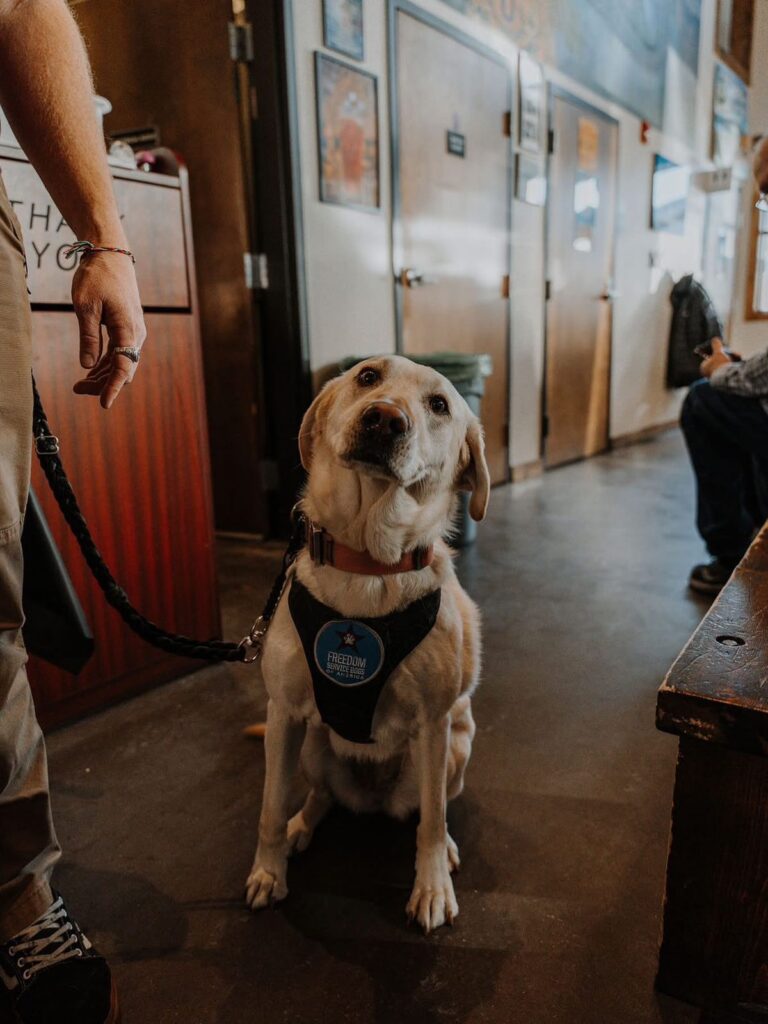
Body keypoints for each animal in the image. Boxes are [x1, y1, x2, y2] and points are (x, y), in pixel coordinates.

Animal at [245, 354, 489, 932]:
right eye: (367, 377)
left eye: (439, 404)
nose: (385, 419)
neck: (368, 563)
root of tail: (372, 799)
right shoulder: (283, 713)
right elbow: (269, 808)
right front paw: (268, 871)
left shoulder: (433, 723)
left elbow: (430, 823)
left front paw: (431, 888)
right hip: (312, 744)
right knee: (320, 795)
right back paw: (302, 825)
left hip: (454, 749)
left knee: (430, 811)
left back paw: (445, 849)